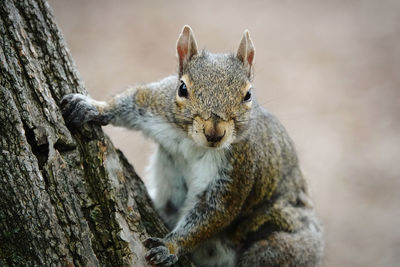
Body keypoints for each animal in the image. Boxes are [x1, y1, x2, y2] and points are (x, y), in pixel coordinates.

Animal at [61, 25, 324, 267]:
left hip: (277, 243)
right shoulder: (157, 105)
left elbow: (214, 211)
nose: (214, 133)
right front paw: (92, 108)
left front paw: (169, 246)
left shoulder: (239, 168)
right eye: (182, 88)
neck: (192, 142)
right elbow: (132, 100)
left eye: (248, 95)